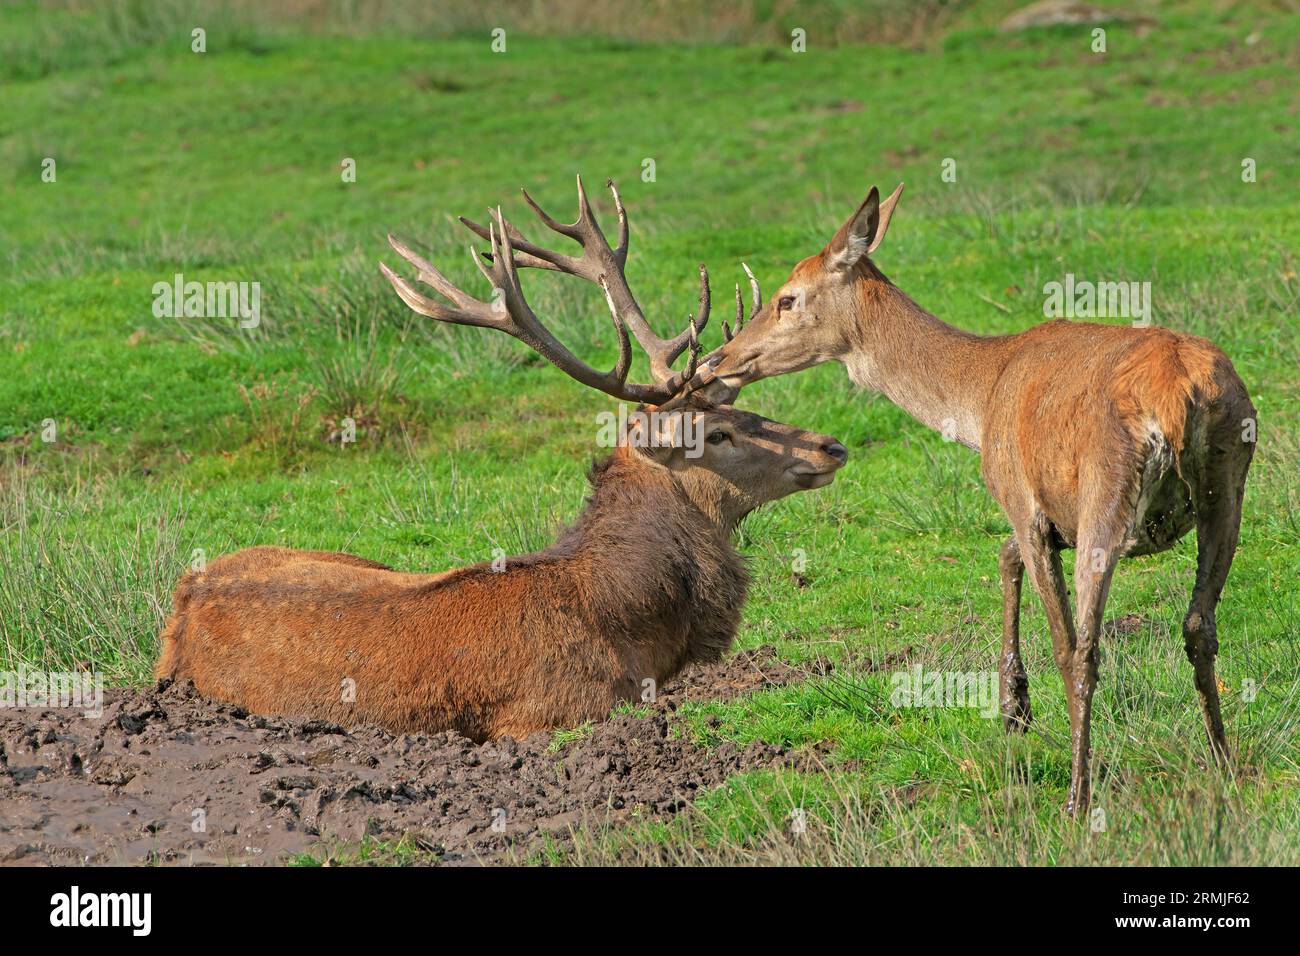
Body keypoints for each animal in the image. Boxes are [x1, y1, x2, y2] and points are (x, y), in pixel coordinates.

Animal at [692, 180, 1256, 814]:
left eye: (788, 298)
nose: (716, 363)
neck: (980, 400)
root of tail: (1180, 396)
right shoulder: (1047, 516)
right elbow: (1004, 554)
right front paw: (1013, 706)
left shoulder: (1021, 496)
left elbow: (1026, 577)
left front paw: (1017, 710)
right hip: (1230, 479)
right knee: (1199, 624)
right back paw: (1224, 763)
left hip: (1106, 494)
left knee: (1081, 648)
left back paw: (1077, 797)